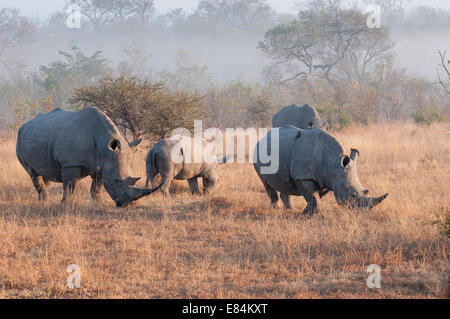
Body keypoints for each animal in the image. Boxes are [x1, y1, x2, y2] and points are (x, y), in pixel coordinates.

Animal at [15, 107, 160, 208]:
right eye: (117, 181)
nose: (128, 205)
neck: (105, 147)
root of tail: (24, 125)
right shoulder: (71, 163)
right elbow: (69, 187)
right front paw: (65, 205)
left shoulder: (102, 166)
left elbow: (96, 188)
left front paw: (97, 203)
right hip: (20, 140)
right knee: (33, 173)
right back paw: (44, 202)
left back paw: (43, 201)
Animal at [253, 126, 386, 216]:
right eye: (352, 195)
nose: (362, 213)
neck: (334, 164)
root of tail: (262, 138)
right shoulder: (304, 177)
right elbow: (313, 197)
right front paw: (315, 215)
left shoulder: (328, 178)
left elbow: (315, 196)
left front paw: (305, 212)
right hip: (256, 153)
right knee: (265, 182)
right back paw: (275, 209)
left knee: (284, 183)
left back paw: (289, 209)